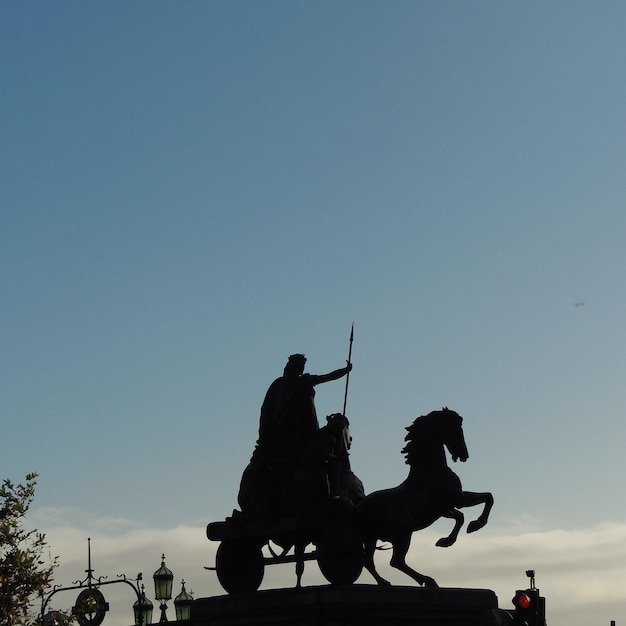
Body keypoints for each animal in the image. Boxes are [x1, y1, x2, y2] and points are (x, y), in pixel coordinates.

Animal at [356, 408, 492, 588]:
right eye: (456, 429)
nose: (464, 455)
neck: (431, 469)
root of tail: (357, 509)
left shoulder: (445, 509)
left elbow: (460, 517)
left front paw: (445, 541)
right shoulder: (459, 499)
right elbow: (488, 497)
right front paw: (475, 525)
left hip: (372, 538)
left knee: (370, 560)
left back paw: (386, 581)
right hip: (402, 535)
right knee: (395, 561)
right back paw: (425, 580)